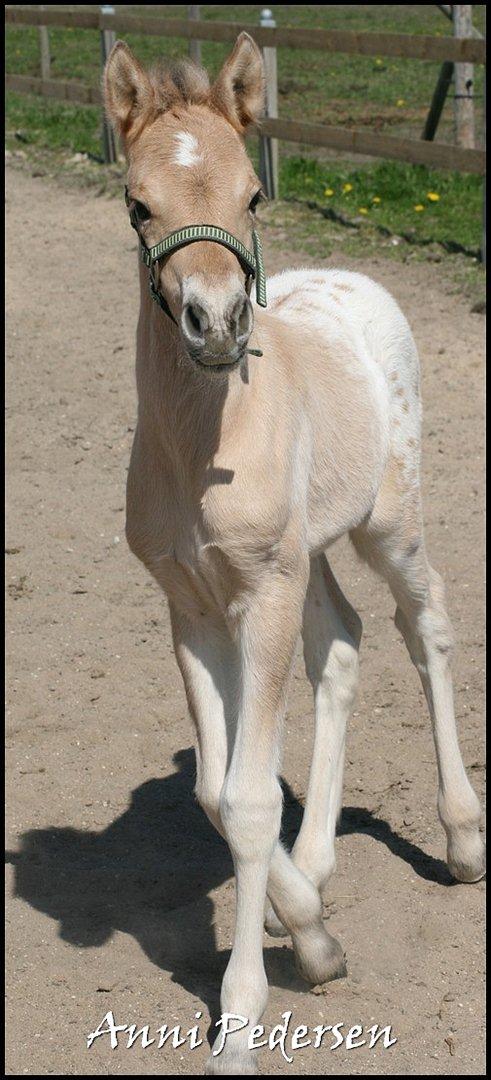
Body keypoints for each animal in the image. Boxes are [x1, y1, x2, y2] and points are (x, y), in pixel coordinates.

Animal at [103, 31, 483, 1071]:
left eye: (251, 197)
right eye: (137, 204)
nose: (218, 325)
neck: (203, 446)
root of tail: (358, 281)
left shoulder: (261, 594)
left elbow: (242, 800)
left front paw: (240, 1017)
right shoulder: (193, 604)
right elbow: (212, 788)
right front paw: (309, 927)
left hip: (385, 522)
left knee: (424, 622)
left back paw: (463, 839)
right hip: (309, 552)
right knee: (343, 642)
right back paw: (315, 863)